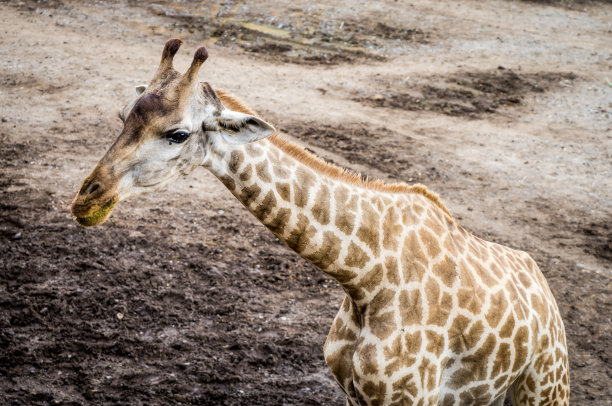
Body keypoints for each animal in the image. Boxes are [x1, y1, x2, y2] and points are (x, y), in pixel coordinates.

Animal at [71, 38, 568, 406]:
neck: (365, 278)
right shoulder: (353, 392)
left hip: (546, 387)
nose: (87, 200)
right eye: (122, 116)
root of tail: (547, 294)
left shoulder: (409, 397)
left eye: (178, 134)